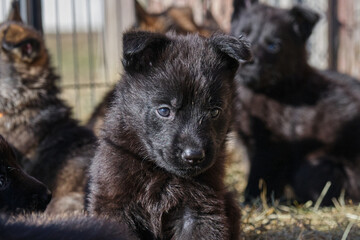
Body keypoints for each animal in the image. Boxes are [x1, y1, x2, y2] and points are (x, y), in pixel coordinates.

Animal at [88, 30, 250, 240]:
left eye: (214, 112)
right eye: (164, 111)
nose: (193, 156)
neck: (158, 171)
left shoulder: (199, 209)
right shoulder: (114, 203)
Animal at [232, 0, 360, 206]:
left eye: (274, 46)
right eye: (242, 35)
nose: (246, 61)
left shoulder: (271, 147)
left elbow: (259, 178)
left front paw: (252, 201)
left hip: (313, 167)